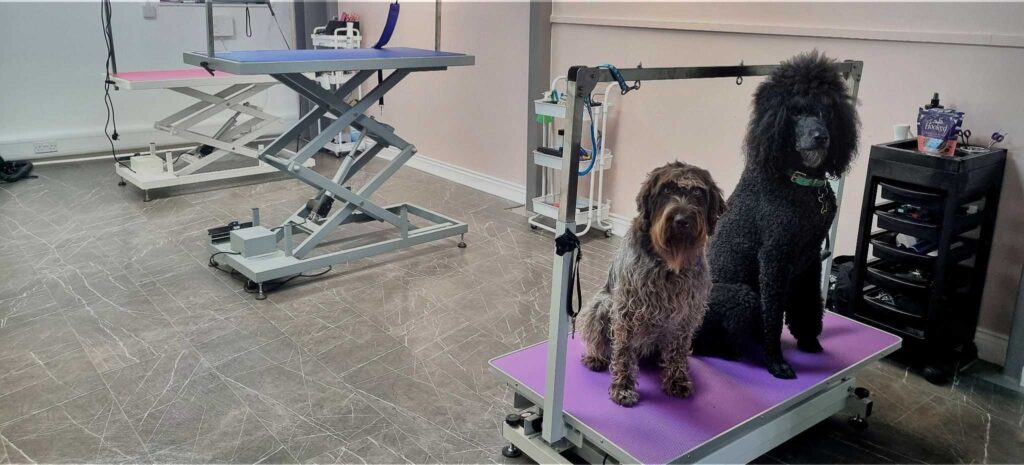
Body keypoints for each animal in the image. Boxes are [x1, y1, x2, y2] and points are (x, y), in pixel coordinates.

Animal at [577, 160, 729, 407]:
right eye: (666, 190)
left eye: (698, 192)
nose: (681, 220)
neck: (669, 262)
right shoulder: (628, 311)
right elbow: (623, 353)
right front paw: (622, 387)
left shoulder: (686, 316)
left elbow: (677, 351)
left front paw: (677, 379)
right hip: (602, 305)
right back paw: (596, 357)